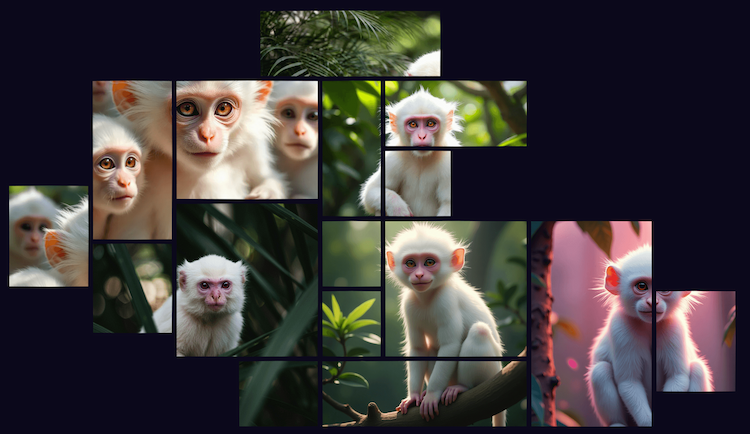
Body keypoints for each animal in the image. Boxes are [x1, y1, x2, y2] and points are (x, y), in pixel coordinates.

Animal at [360, 88, 460, 216]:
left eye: (430, 123)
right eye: (413, 124)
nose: (422, 136)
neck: (421, 159)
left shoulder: (450, 160)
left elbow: (449, 204)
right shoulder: (392, 158)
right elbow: (372, 190)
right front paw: (397, 208)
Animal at [387, 223, 505, 426]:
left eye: (429, 262)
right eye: (410, 263)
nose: (419, 275)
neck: (428, 296)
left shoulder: (446, 300)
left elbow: (450, 346)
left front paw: (432, 396)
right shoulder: (408, 304)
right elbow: (418, 349)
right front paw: (414, 396)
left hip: (491, 371)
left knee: (480, 332)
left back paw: (461, 387)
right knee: (431, 348)